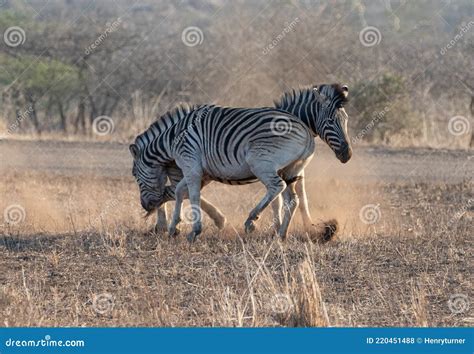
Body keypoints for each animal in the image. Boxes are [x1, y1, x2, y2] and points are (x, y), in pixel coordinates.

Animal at [131, 83, 352, 241]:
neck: (172, 138)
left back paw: (251, 221)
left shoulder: (192, 166)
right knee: (290, 197)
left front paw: (194, 229)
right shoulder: (197, 170)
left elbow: (189, 195)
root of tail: (304, 131)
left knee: (277, 188)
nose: (347, 154)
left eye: (345, 120)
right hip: (280, 168)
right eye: (331, 121)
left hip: (259, 162)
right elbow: (181, 192)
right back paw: (279, 233)